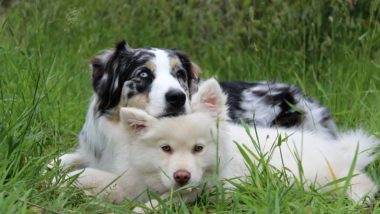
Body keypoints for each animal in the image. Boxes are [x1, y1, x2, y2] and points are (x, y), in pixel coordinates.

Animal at [63, 79, 376, 211]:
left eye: (198, 148)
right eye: (165, 149)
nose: (182, 175)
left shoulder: (211, 188)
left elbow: (170, 200)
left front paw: (147, 208)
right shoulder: (134, 177)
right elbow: (96, 177)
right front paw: (62, 178)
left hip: (313, 174)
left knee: (360, 180)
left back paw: (359, 199)